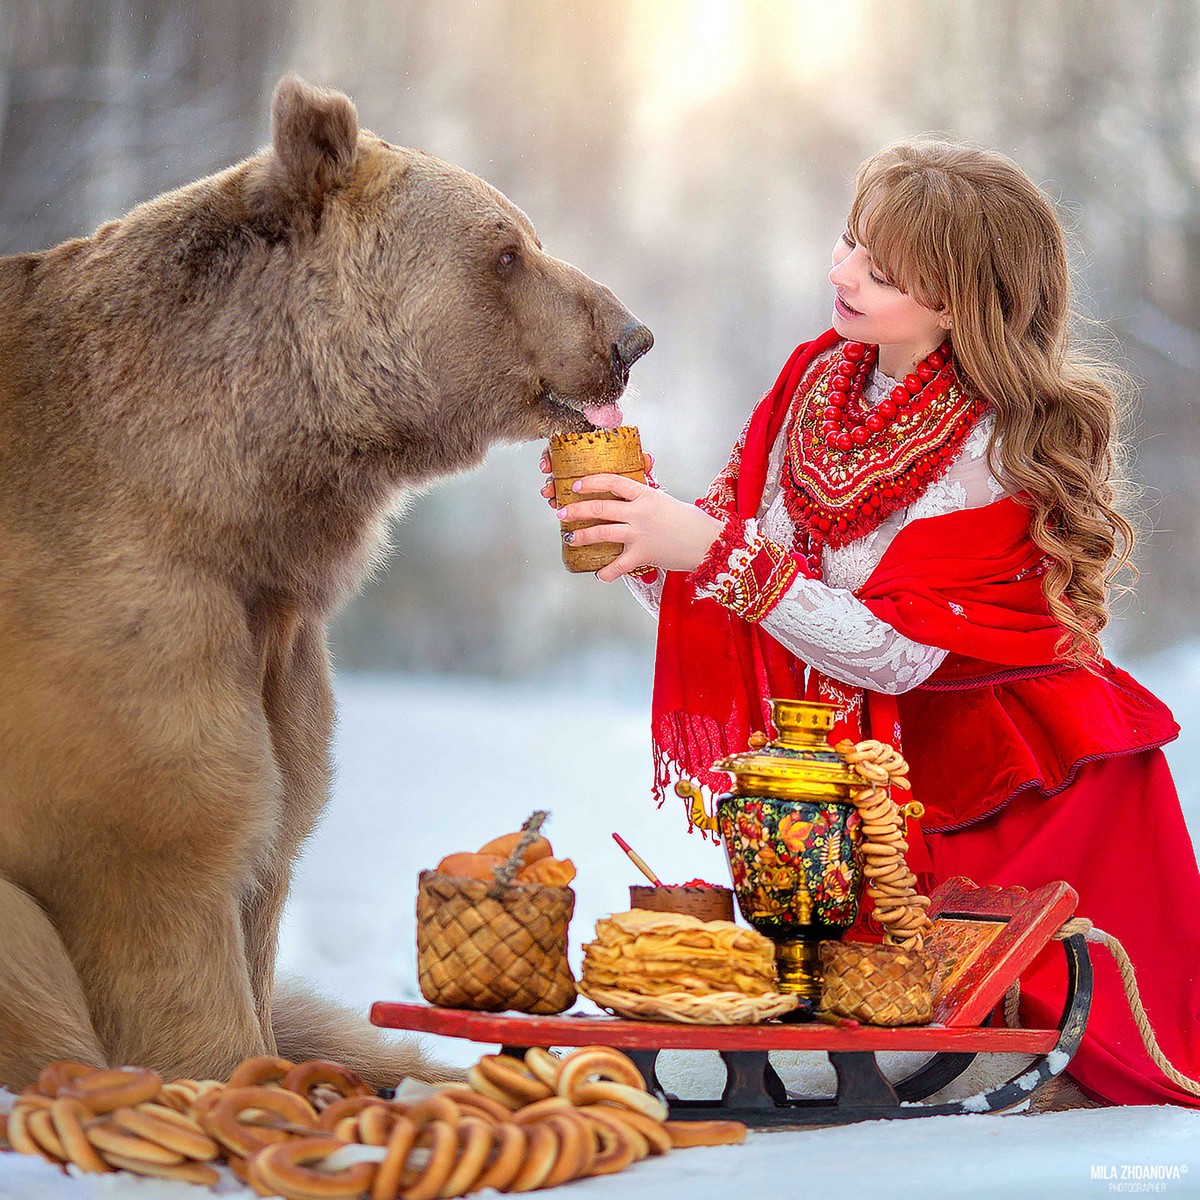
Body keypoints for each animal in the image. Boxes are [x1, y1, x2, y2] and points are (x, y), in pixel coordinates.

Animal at [0, 72, 652, 1089]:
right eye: (507, 251)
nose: (630, 336)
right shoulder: (116, 633)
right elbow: (168, 871)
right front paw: (222, 1069)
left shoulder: (274, 648)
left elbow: (273, 852)